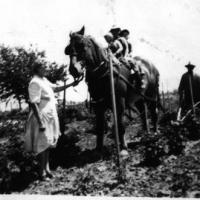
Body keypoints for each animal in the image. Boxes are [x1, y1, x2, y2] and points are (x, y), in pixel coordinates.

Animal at [65, 26, 161, 154]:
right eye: (68, 49)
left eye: (82, 45)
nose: (74, 70)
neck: (104, 72)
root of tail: (152, 66)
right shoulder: (98, 104)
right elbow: (100, 127)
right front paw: (98, 149)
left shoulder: (119, 102)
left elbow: (120, 125)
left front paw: (123, 148)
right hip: (139, 98)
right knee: (143, 114)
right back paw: (145, 134)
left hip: (152, 95)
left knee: (154, 112)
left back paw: (155, 133)